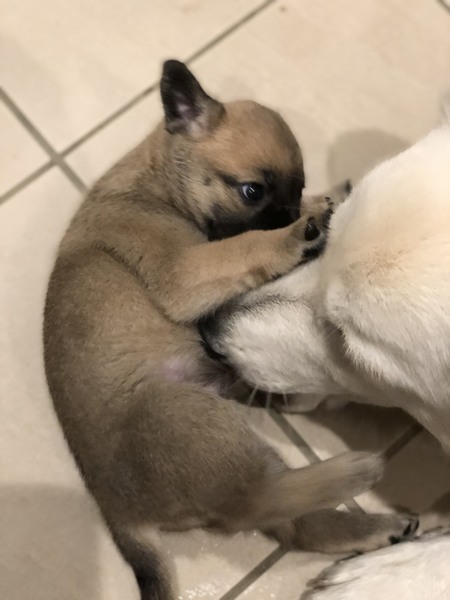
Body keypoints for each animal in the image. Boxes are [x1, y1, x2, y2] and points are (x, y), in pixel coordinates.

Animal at [44, 61, 416, 600]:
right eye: (252, 191)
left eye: (295, 186)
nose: (291, 213)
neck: (155, 185)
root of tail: (115, 508)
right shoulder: (187, 271)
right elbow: (244, 248)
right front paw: (299, 231)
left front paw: (321, 203)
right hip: (190, 417)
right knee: (256, 502)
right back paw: (354, 471)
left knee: (294, 526)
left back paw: (371, 526)